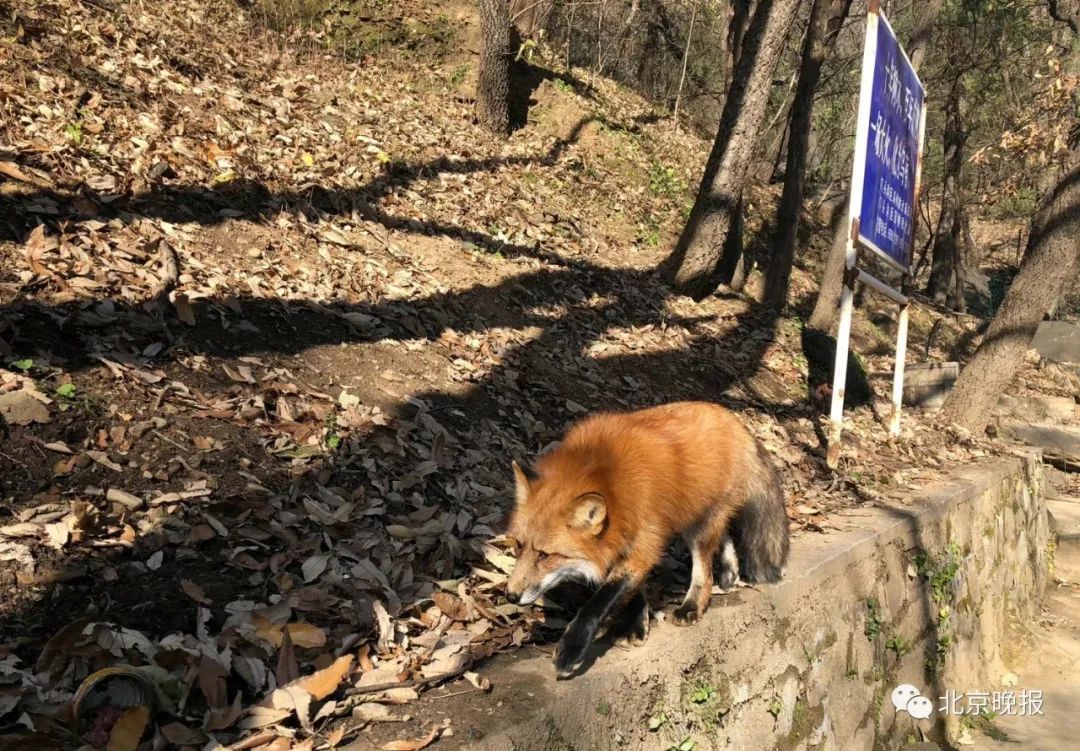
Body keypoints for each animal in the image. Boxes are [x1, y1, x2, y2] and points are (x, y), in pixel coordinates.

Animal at [501, 401, 790, 678]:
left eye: (545, 555)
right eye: (518, 546)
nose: (511, 596)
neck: (610, 479)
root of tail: (733, 419)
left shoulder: (644, 541)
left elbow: (599, 602)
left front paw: (571, 650)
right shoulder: (623, 542)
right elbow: (633, 589)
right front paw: (637, 624)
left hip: (699, 527)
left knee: (704, 571)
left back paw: (692, 606)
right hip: (695, 516)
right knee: (725, 535)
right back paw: (729, 571)